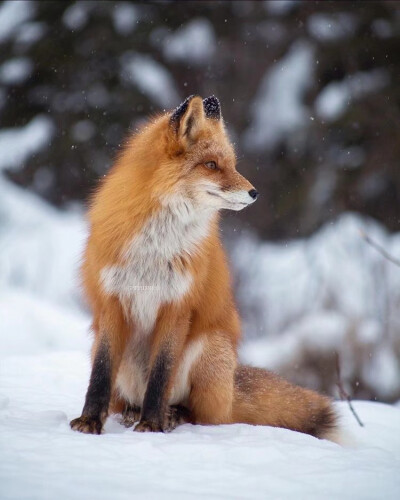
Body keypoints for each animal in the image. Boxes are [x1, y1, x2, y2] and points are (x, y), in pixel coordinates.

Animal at [70, 95, 336, 440]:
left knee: (202, 415)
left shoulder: (178, 305)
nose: (255, 193)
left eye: (232, 164)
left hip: (210, 349)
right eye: (211, 165)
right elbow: (100, 374)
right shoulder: (112, 301)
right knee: (127, 400)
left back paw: (170, 416)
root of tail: (232, 389)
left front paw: (152, 424)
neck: (156, 245)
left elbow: (161, 375)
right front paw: (89, 421)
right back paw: (132, 413)